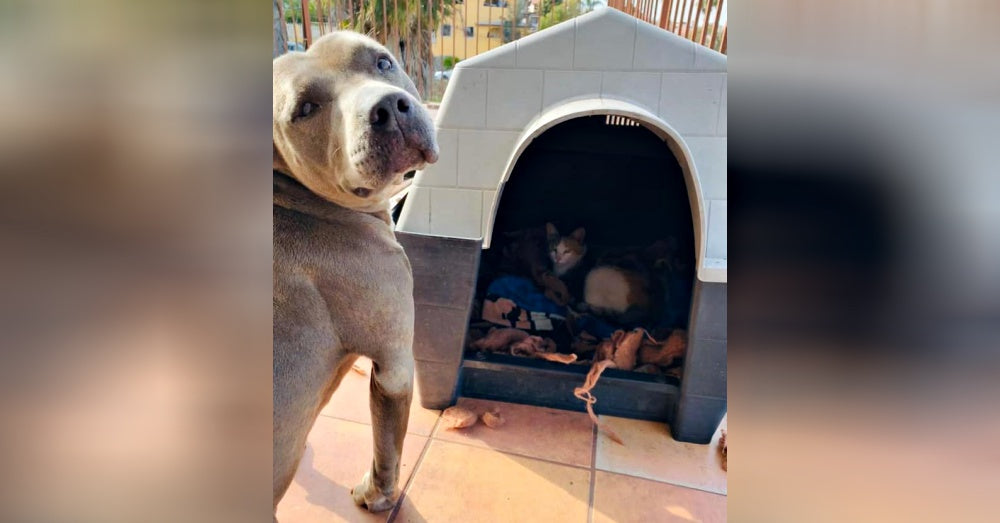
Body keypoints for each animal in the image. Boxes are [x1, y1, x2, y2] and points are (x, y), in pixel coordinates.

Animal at [270, 30, 438, 516]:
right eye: (305, 108)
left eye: (382, 62)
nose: (389, 109)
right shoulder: (394, 366)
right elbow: (388, 448)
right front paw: (379, 496)